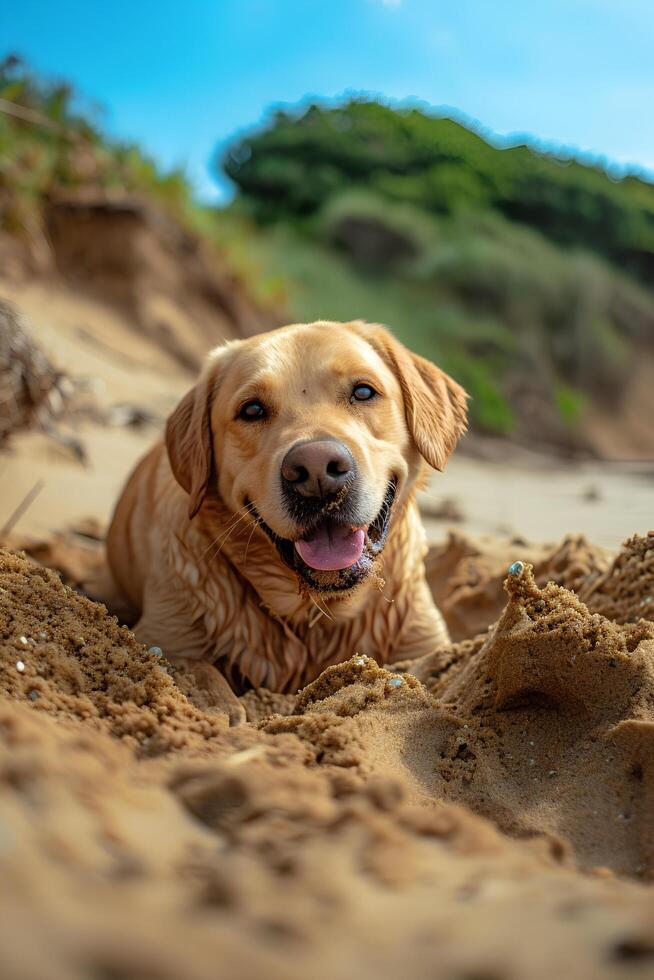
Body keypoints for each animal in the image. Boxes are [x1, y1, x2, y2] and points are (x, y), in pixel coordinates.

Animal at [106, 320, 466, 720]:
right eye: (252, 410)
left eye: (362, 391)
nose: (316, 471)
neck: (317, 617)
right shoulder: (163, 633)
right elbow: (195, 669)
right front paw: (215, 705)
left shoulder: (421, 639)